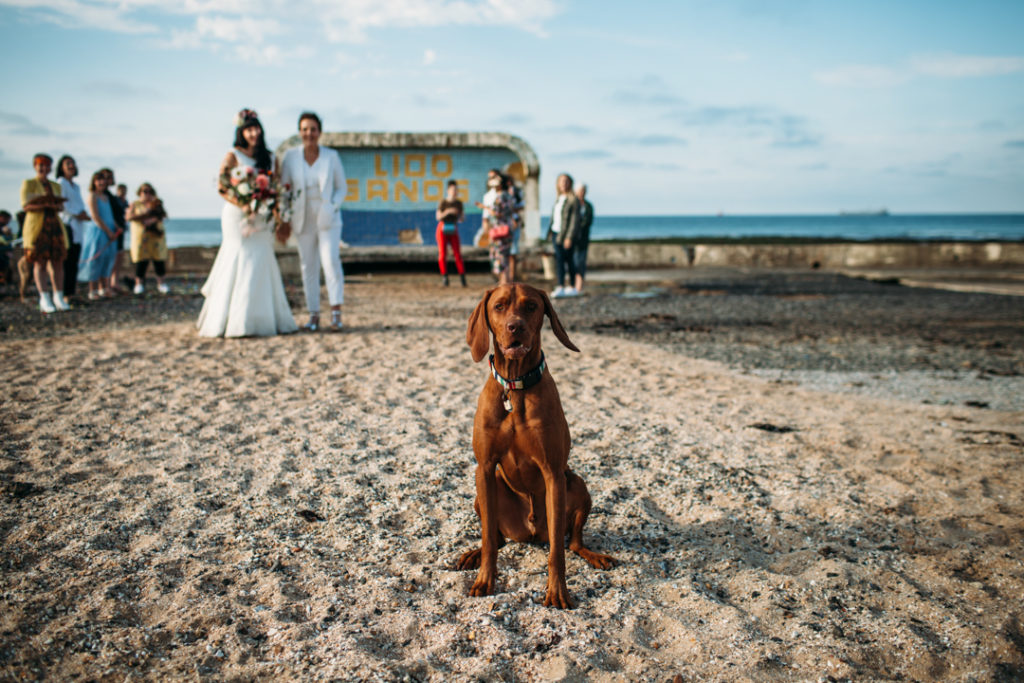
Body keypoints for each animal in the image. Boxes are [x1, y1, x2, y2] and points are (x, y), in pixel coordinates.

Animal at [458, 282, 614, 610]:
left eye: (531, 306)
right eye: (499, 306)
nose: (514, 326)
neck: (515, 386)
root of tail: (529, 532)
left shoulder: (553, 473)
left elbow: (557, 552)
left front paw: (557, 591)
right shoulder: (485, 468)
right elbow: (488, 539)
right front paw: (485, 580)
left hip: (576, 484)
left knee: (572, 542)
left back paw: (593, 555)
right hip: (485, 492)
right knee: (496, 539)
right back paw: (473, 554)